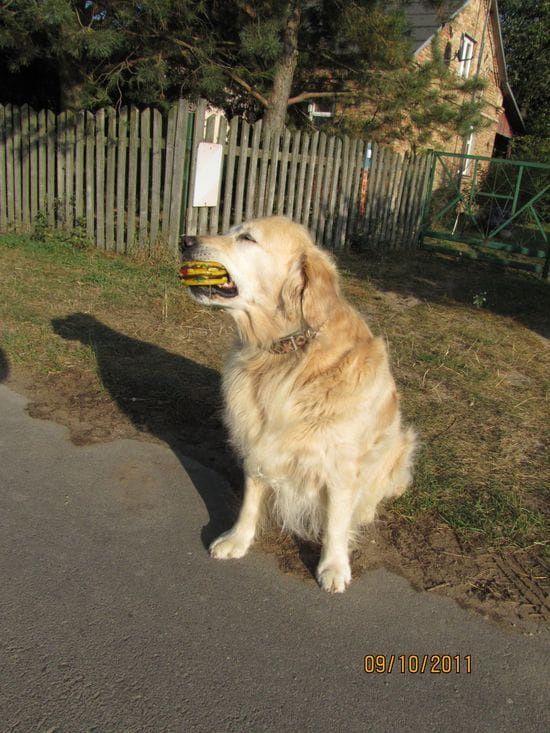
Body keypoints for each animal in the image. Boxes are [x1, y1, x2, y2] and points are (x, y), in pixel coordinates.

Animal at [181, 216, 418, 588]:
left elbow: (336, 521)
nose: (185, 240)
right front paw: (238, 539)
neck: (284, 354)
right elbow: (250, 499)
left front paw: (333, 566)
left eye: (247, 238)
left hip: (401, 444)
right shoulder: (258, 440)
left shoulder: (341, 464)